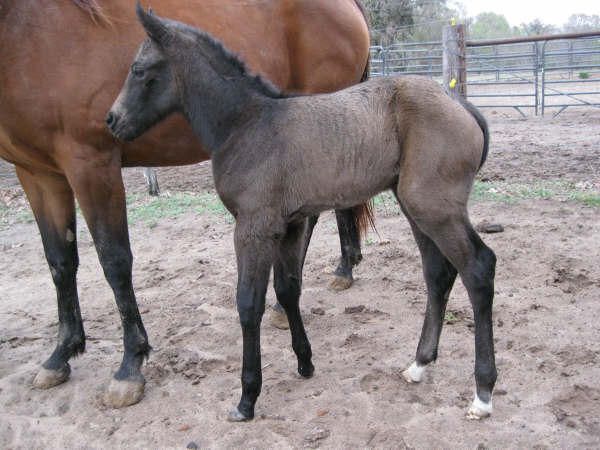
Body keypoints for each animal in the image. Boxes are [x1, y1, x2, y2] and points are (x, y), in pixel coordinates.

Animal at [0, 0, 370, 408]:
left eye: (139, 70)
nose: (112, 119)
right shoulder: (37, 172)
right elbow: (60, 262)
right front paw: (60, 354)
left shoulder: (89, 161)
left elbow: (114, 261)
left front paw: (129, 367)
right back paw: (335, 273)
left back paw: (333, 276)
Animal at [108, 6, 496, 422]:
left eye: (139, 69)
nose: (112, 120)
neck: (245, 124)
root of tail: (461, 104)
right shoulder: (289, 224)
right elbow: (288, 289)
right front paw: (305, 362)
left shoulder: (253, 227)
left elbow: (249, 303)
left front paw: (247, 397)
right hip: (416, 208)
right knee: (438, 273)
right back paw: (419, 364)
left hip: (433, 207)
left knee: (478, 267)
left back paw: (483, 392)